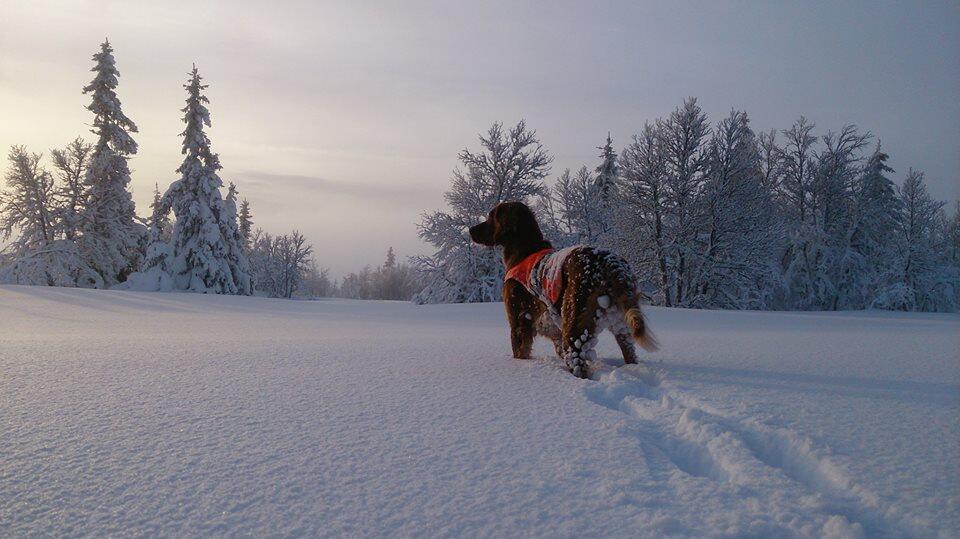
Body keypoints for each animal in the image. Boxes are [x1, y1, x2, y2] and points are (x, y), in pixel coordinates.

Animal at [468, 199, 656, 380]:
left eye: (491, 216)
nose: (470, 230)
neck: (524, 250)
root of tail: (609, 262)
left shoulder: (519, 321)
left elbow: (519, 352)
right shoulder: (554, 332)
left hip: (574, 323)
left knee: (577, 362)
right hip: (621, 325)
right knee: (629, 352)